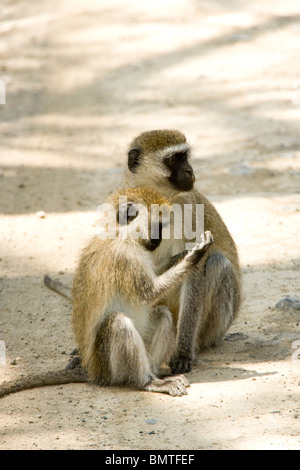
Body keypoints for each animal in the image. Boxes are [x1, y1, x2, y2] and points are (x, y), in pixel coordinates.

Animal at [0, 187, 213, 396]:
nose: (157, 239)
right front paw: (194, 255)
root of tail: (92, 371)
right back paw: (148, 381)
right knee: (118, 323)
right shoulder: (124, 256)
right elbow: (150, 293)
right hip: (107, 366)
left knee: (162, 314)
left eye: (162, 226)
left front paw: (182, 255)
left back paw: (157, 372)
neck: (121, 234)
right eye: (157, 225)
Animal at [121, 129, 241, 374]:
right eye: (174, 160)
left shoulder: (189, 206)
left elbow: (194, 268)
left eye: (185, 157)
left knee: (218, 263)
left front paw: (183, 353)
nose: (189, 171)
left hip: (211, 329)